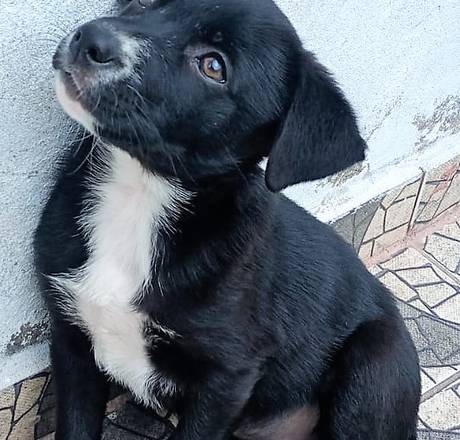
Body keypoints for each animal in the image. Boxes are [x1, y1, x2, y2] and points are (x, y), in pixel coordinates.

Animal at [34, 0, 421, 438]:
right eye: (144, 4)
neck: (141, 195)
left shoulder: (227, 379)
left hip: (376, 363)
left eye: (213, 66)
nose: (91, 39)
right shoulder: (71, 337)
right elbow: (75, 425)